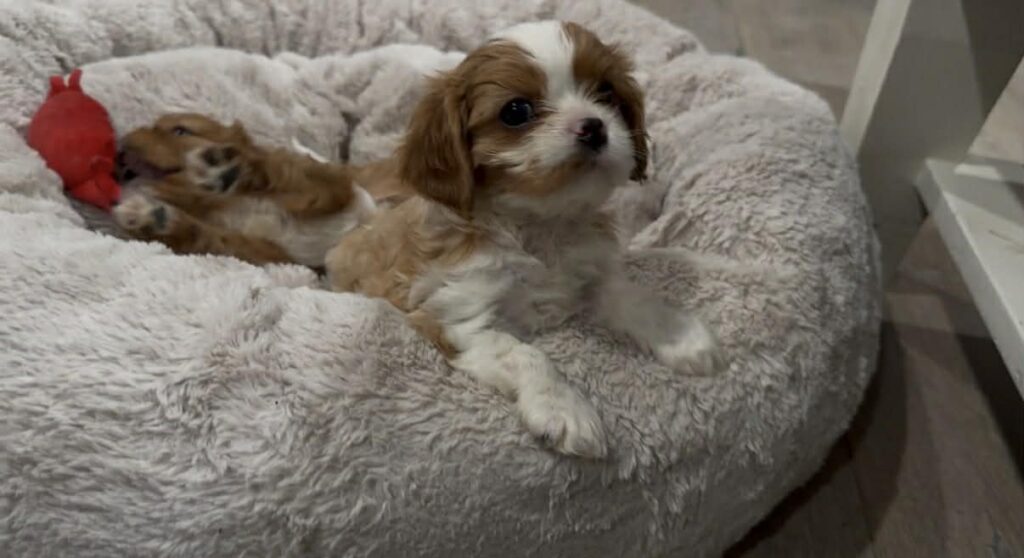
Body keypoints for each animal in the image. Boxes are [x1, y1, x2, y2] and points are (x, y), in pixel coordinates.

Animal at [113, 113, 409, 266]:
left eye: (180, 131)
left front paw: (221, 166)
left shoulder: (340, 184)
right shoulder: (276, 254)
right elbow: (210, 237)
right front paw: (153, 220)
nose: (120, 145)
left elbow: (282, 170)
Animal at [325, 21, 718, 459]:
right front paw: (563, 409)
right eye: (516, 112)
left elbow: (633, 297)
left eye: (606, 92)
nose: (594, 126)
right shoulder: (457, 318)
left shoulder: (591, 274)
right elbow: (526, 354)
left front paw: (679, 335)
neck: (541, 226)